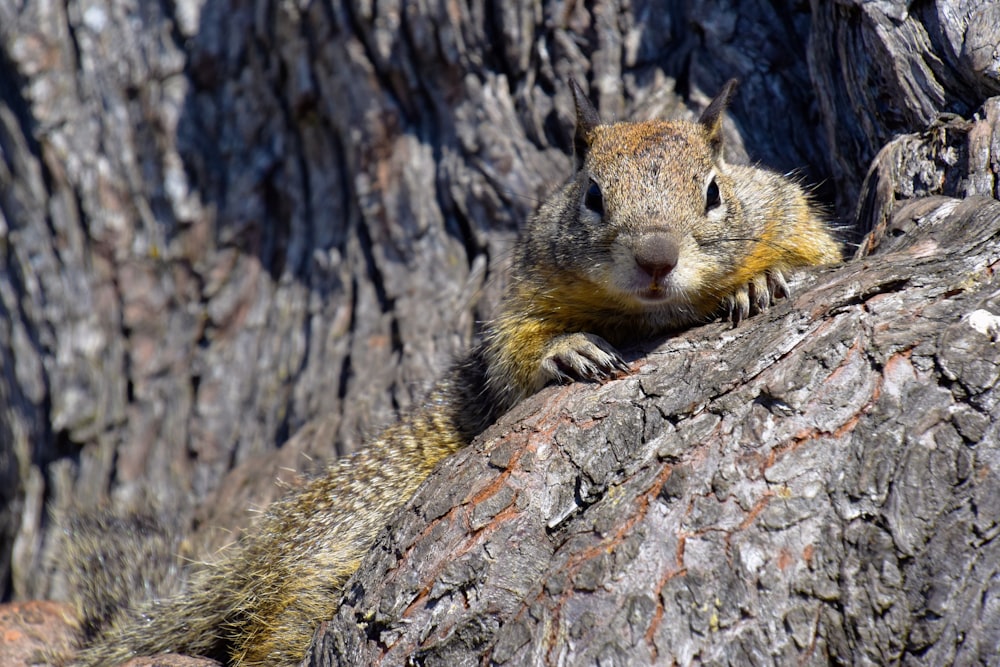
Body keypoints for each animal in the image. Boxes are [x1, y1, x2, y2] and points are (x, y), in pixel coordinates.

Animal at [66, 79, 840, 667]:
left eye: (712, 191)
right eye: (592, 195)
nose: (655, 257)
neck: (645, 314)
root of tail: (266, 543)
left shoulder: (788, 214)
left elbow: (816, 251)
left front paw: (759, 282)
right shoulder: (523, 299)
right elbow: (510, 357)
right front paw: (567, 352)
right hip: (334, 544)